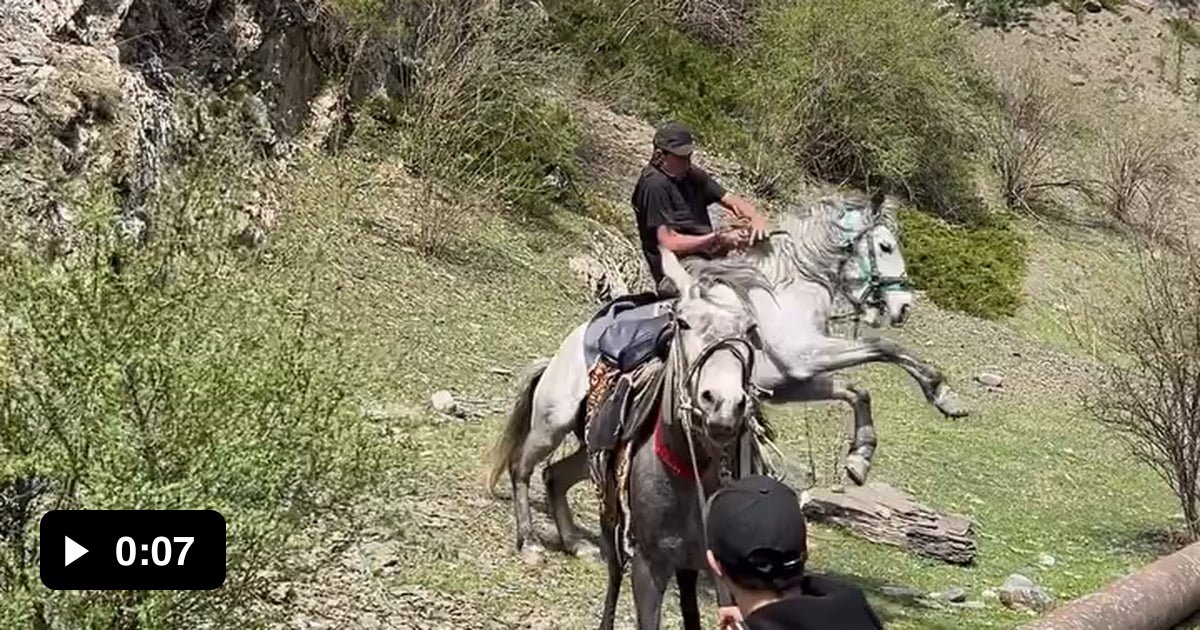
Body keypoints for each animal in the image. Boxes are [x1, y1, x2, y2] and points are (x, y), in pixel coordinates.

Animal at [484, 190, 968, 564]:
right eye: (885, 246)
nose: (902, 307)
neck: (784, 293)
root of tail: (559, 356)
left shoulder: (791, 381)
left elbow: (857, 390)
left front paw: (859, 458)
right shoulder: (805, 359)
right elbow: (884, 349)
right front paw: (943, 392)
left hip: (597, 442)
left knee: (554, 476)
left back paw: (576, 544)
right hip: (554, 423)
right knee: (523, 469)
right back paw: (530, 544)